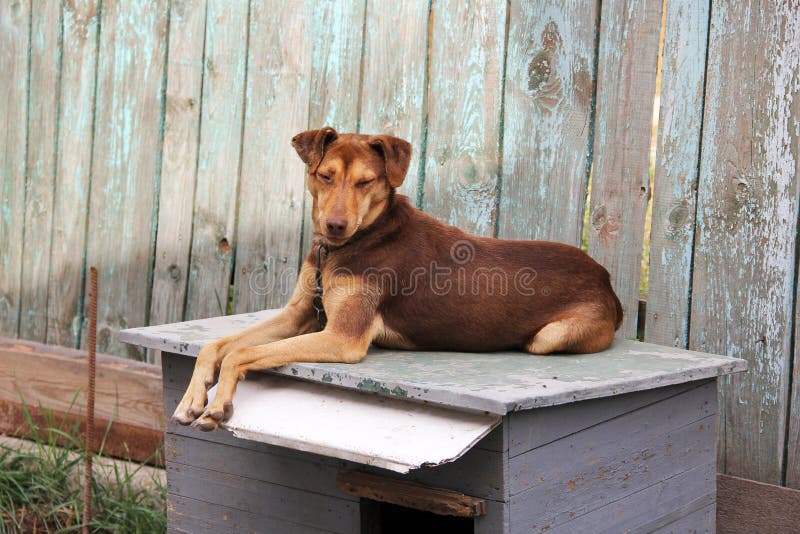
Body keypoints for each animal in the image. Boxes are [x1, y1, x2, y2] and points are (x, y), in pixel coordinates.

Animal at [175, 126, 624, 432]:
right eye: (325, 176)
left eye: (365, 181)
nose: (335, 225)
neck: (345, 246)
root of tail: (606, 278)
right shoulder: (300, 313)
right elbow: (216, 346)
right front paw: (192, 399)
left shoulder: (342, 337)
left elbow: (241, 354)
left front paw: (218, 406)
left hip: (548, 337)